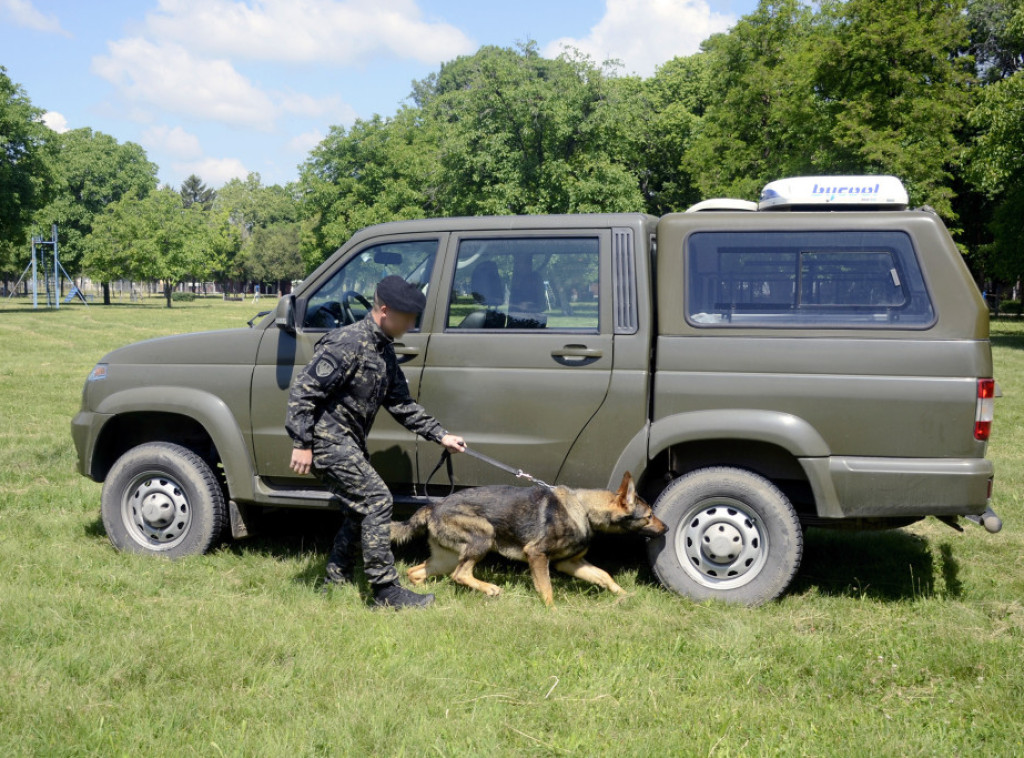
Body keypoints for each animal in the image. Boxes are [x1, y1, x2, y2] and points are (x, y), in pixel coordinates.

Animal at [387, 471, 667, 606]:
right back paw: (490, 588)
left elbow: (604, 576)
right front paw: (553, 612)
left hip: (445, 559)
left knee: (416, 571)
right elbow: (547, 589)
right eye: (649, 516)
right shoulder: (537, 555)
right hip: (484, 536)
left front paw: (625, 595)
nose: (666, 528)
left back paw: (422, 590)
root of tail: (433, 507)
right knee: (461, 574)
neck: (584, 508)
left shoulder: (571, 563)